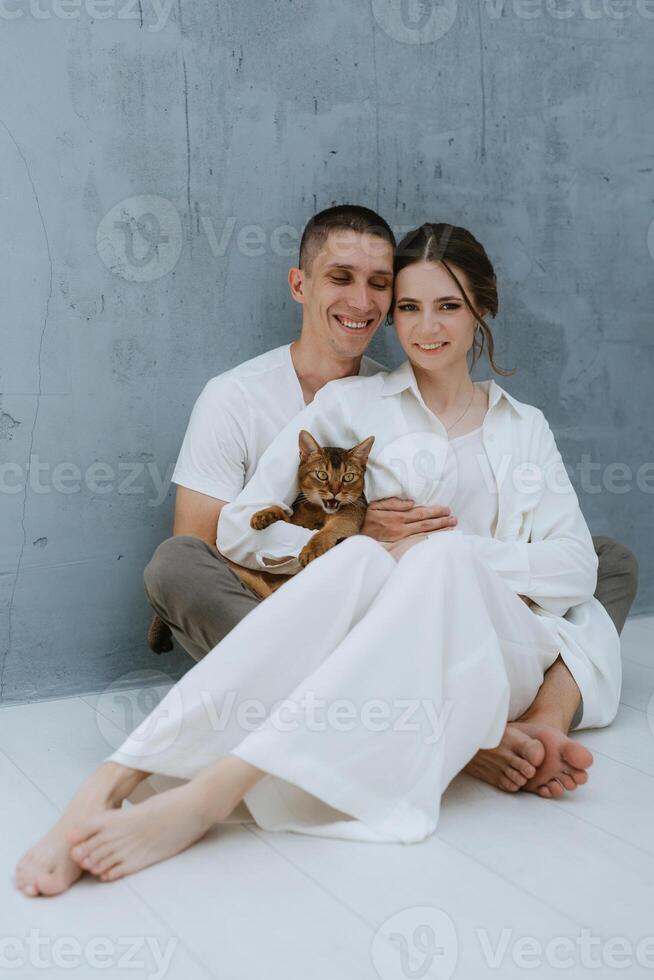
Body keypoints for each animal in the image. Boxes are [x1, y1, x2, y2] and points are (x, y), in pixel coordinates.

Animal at [147, 426, 376, 652]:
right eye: (322, 474)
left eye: (348, 477)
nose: (335, 492)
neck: (318, 511)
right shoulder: (296, 517)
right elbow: (284, 514)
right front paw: (263, 515)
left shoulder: (347, 518)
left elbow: (326, 532)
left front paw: (311, 550)